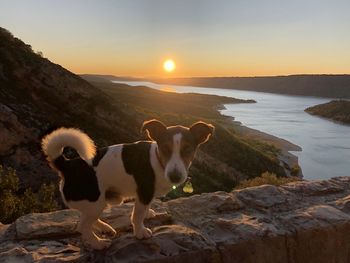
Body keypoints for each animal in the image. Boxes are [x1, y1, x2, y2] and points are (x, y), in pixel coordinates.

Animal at [42, 119, 215, 250]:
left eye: (188, 150)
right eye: (165, 149)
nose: (175, 176)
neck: (158, 161)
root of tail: (68, 165)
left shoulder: (146, 195)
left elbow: (144, 209)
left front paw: (148, 213)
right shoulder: (144, 192)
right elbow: (137, 216)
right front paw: (140, 232)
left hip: (98, 201)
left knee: (85, 218)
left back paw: (105, 228)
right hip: (95, 200)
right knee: (83, 225)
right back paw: (98, 243)